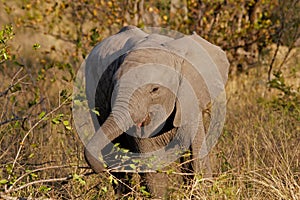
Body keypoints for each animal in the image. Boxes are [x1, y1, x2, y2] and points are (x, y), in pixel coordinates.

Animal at [75, 25, 230, 198]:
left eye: (155, 89)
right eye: (114, 85)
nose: (101, 166)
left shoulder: (189, 102)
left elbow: (196, 159)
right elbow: (153, 170)